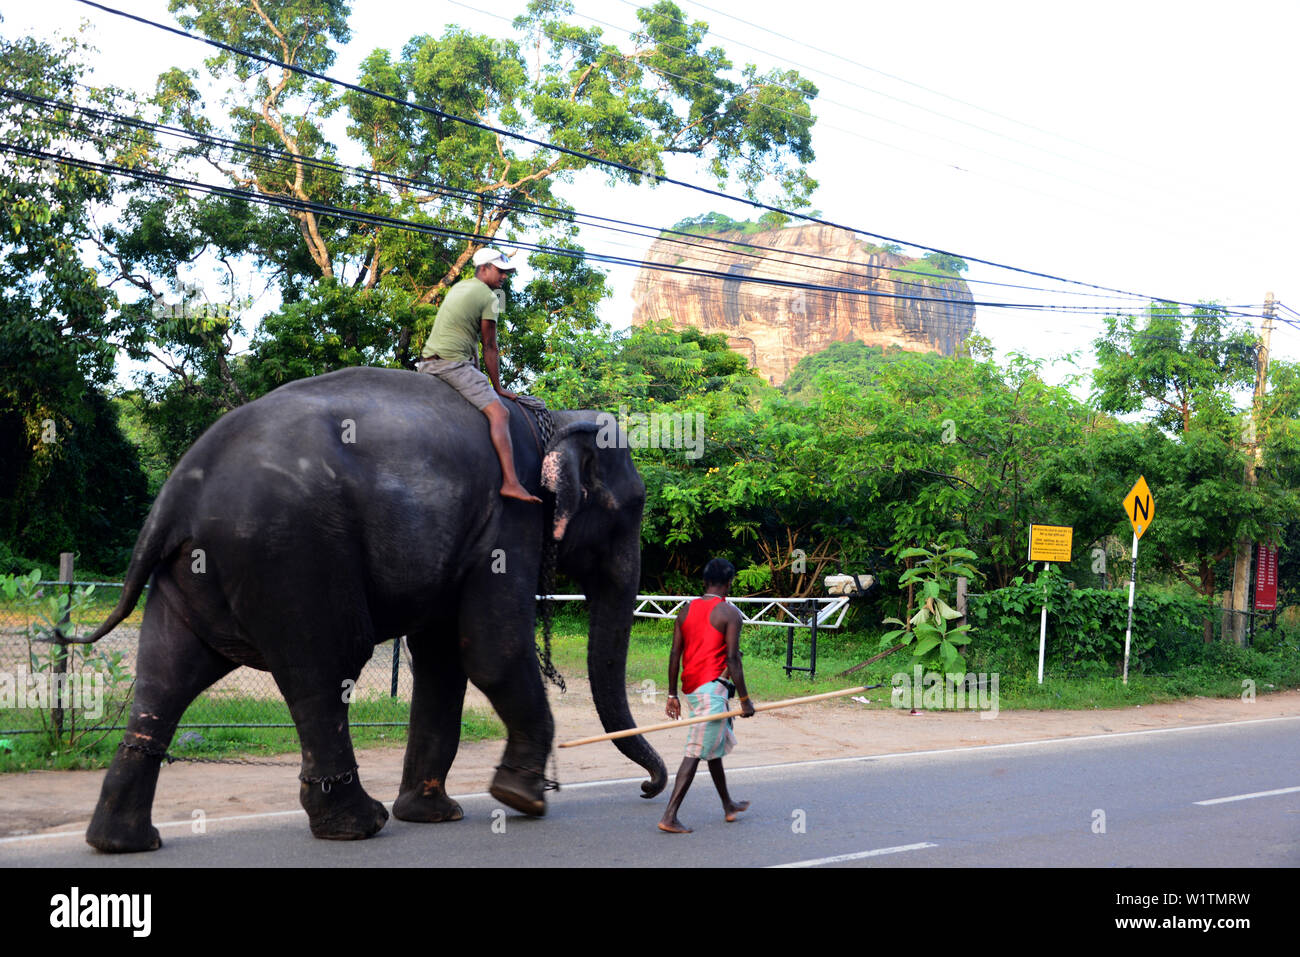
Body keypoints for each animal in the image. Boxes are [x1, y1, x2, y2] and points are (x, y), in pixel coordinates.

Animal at [79, 364, 665, 852]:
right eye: (634, 505)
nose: (645, 787)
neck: (554, 419)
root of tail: (177, 492)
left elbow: (443, 659)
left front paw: (435, 814)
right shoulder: (510, 520)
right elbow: (491, 651)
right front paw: (522, 799)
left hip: (195, 573)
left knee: (167, 675)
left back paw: (122, 842)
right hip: (291, 557)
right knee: (325, 670)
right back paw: (359, 825)